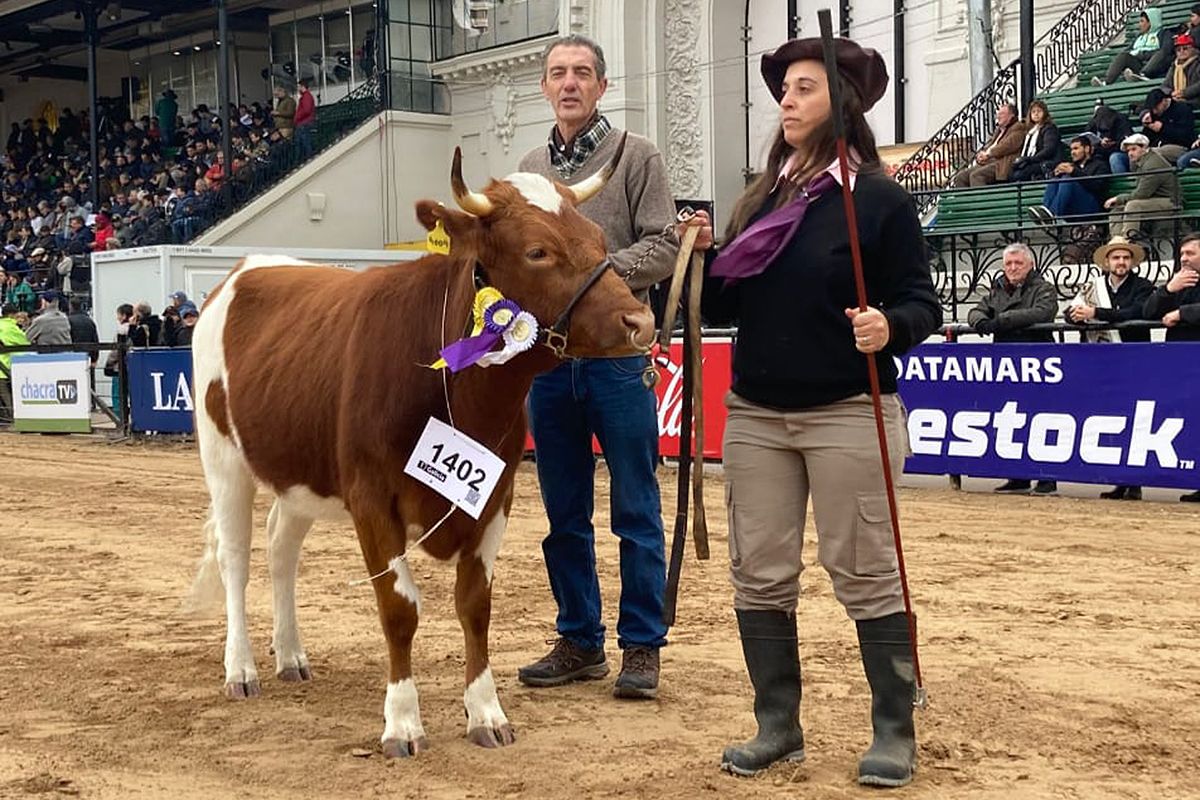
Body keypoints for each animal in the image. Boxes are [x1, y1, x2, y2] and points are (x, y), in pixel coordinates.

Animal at [189, 137, 657, 758]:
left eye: (600, 240)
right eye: (537, 251)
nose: (640, 321)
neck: (452, 388)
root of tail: (248, 268)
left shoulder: (494, 496)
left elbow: (475, 606)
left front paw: (486, 713)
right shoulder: (370, 500)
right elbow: (399, 610)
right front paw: (403, 722)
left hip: (299, 470)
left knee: (280, 548)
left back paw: (290, 654)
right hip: (223, 458)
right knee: (236, 559)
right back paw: (240, 668)